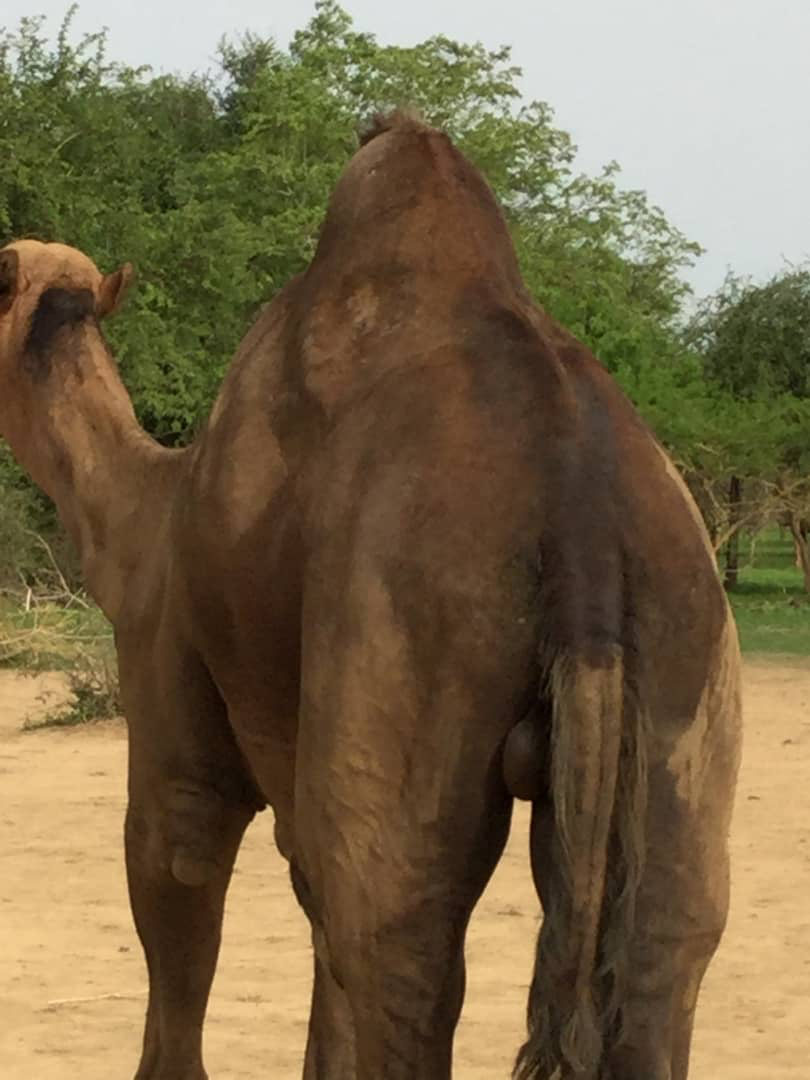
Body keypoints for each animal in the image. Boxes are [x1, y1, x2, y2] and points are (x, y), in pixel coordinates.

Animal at [0, 111, 743, 1080]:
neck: (142, 518)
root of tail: (583, 532)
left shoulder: (174, 717)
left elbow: (184, 897)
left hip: (404, 640)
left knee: (401, 949)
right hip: (687, 668)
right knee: (663, 953)